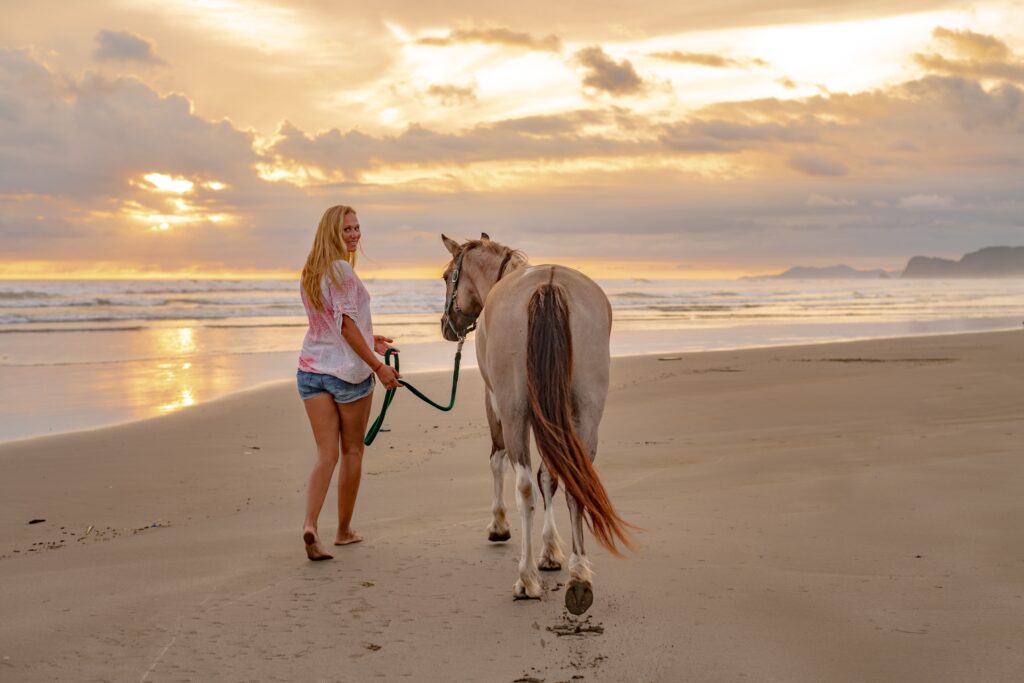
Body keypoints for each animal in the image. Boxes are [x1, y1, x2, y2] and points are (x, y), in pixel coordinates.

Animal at [439, 233, 633, 615]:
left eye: (445, 277)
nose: (446, 327)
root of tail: (549, 285)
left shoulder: (494, 402)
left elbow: (500, 461)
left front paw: (499, 527)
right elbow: (551, 476)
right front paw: (551, 552)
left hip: (514, 410)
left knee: (525, 485)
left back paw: (526, 580)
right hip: (585, 411)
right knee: (574, 481)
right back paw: (578, 578)